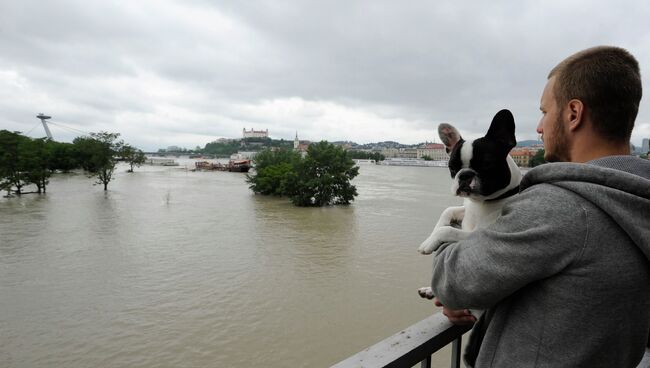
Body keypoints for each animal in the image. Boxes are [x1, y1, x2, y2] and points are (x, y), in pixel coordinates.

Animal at [416, 109, 520, 302]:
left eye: (486, 164)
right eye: (452, 167)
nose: (464, 175)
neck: (480, 202)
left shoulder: (477, 236)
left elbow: (448, 230)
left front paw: (430, 242)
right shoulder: (466, 208)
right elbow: (447, 211)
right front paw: (433, 233)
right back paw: (429, 290)